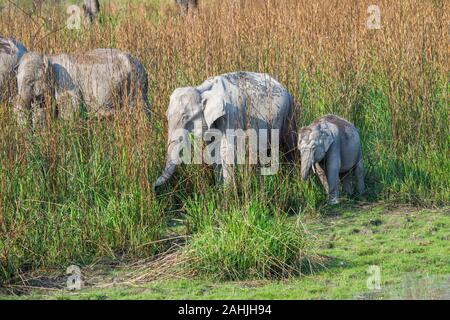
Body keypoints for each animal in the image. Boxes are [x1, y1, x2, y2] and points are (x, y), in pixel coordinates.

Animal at [14, 48, 150, 126]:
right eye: (17, 81)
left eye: (30, 82)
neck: (49, 58)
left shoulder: (66, 84)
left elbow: (69, 113)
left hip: (136, 86)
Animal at [153, 71, 298, 190]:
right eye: (167, 116)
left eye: (185, 117)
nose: (154, 188)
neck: (202, 89)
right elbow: (213, 151)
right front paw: (219, 189)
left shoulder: (231, 115)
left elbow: (226, 151)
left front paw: (227, 194)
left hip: (288, 115)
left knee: (289, 145)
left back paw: (292, 178)